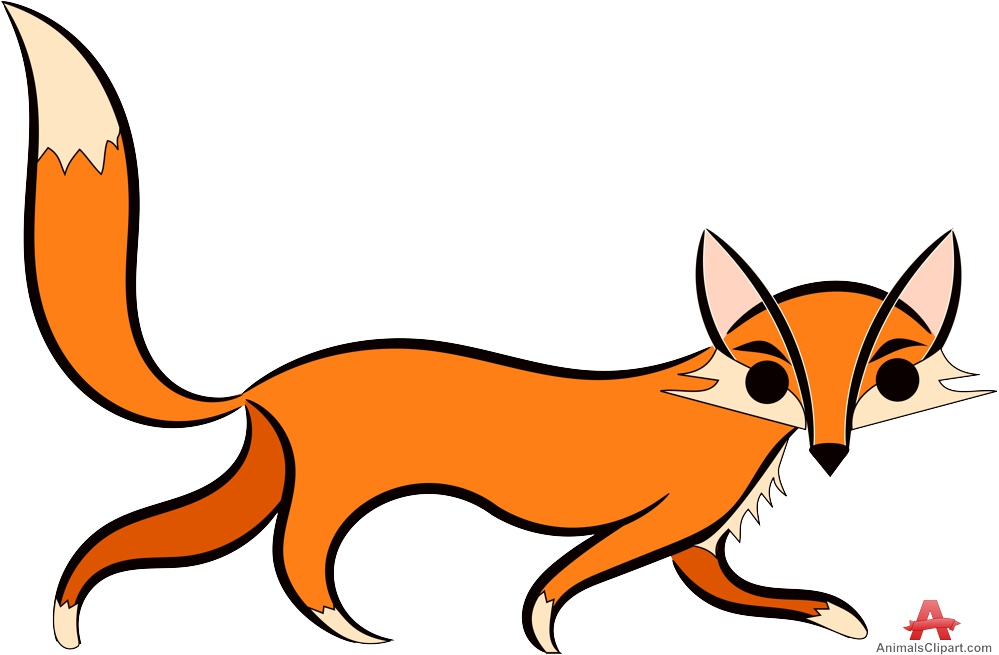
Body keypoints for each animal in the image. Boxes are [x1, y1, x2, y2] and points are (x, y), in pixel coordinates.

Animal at [3, 4, 992, 653]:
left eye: (893, 381)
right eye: (768, 378)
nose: (829, 452)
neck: (726, 412)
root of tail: (262, 386)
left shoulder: (700, 542)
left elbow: (742, 590)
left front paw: (835, 613)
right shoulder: (668, 514)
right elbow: (560, 584)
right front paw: (545, 631)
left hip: (261, 480)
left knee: (148, 538)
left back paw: (72, 615)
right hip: (325, 493)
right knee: (292, 560)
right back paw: (349, 627)